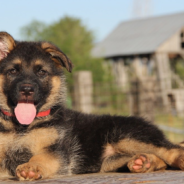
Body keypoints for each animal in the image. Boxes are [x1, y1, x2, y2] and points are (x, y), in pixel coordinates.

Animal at [0, 32, 184, 181]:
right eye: (13, 71)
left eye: (41, 72)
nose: (27, 90)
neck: (21, 128)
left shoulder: (56, 151)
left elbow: (40, 158)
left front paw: (31, 167)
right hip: (110, 161)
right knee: (161, 160)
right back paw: (145, 162)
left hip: (127, 135)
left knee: (170, 148)